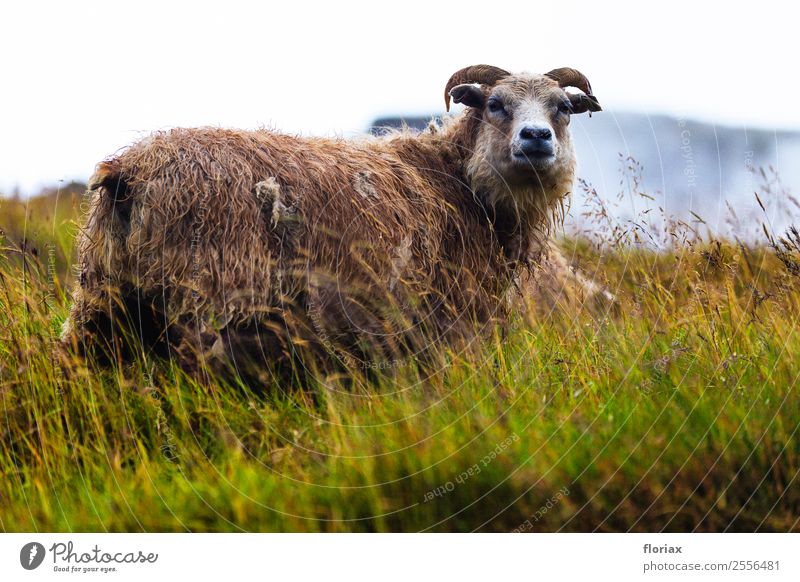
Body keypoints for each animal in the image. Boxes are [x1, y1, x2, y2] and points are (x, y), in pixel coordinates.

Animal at [61, 66, 600, 380]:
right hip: (205, 298)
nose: (536, 137)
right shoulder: (443, 321)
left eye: (564, 108)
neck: (455, 180)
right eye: (494, 104)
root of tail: (129, 170)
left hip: (102, 297)